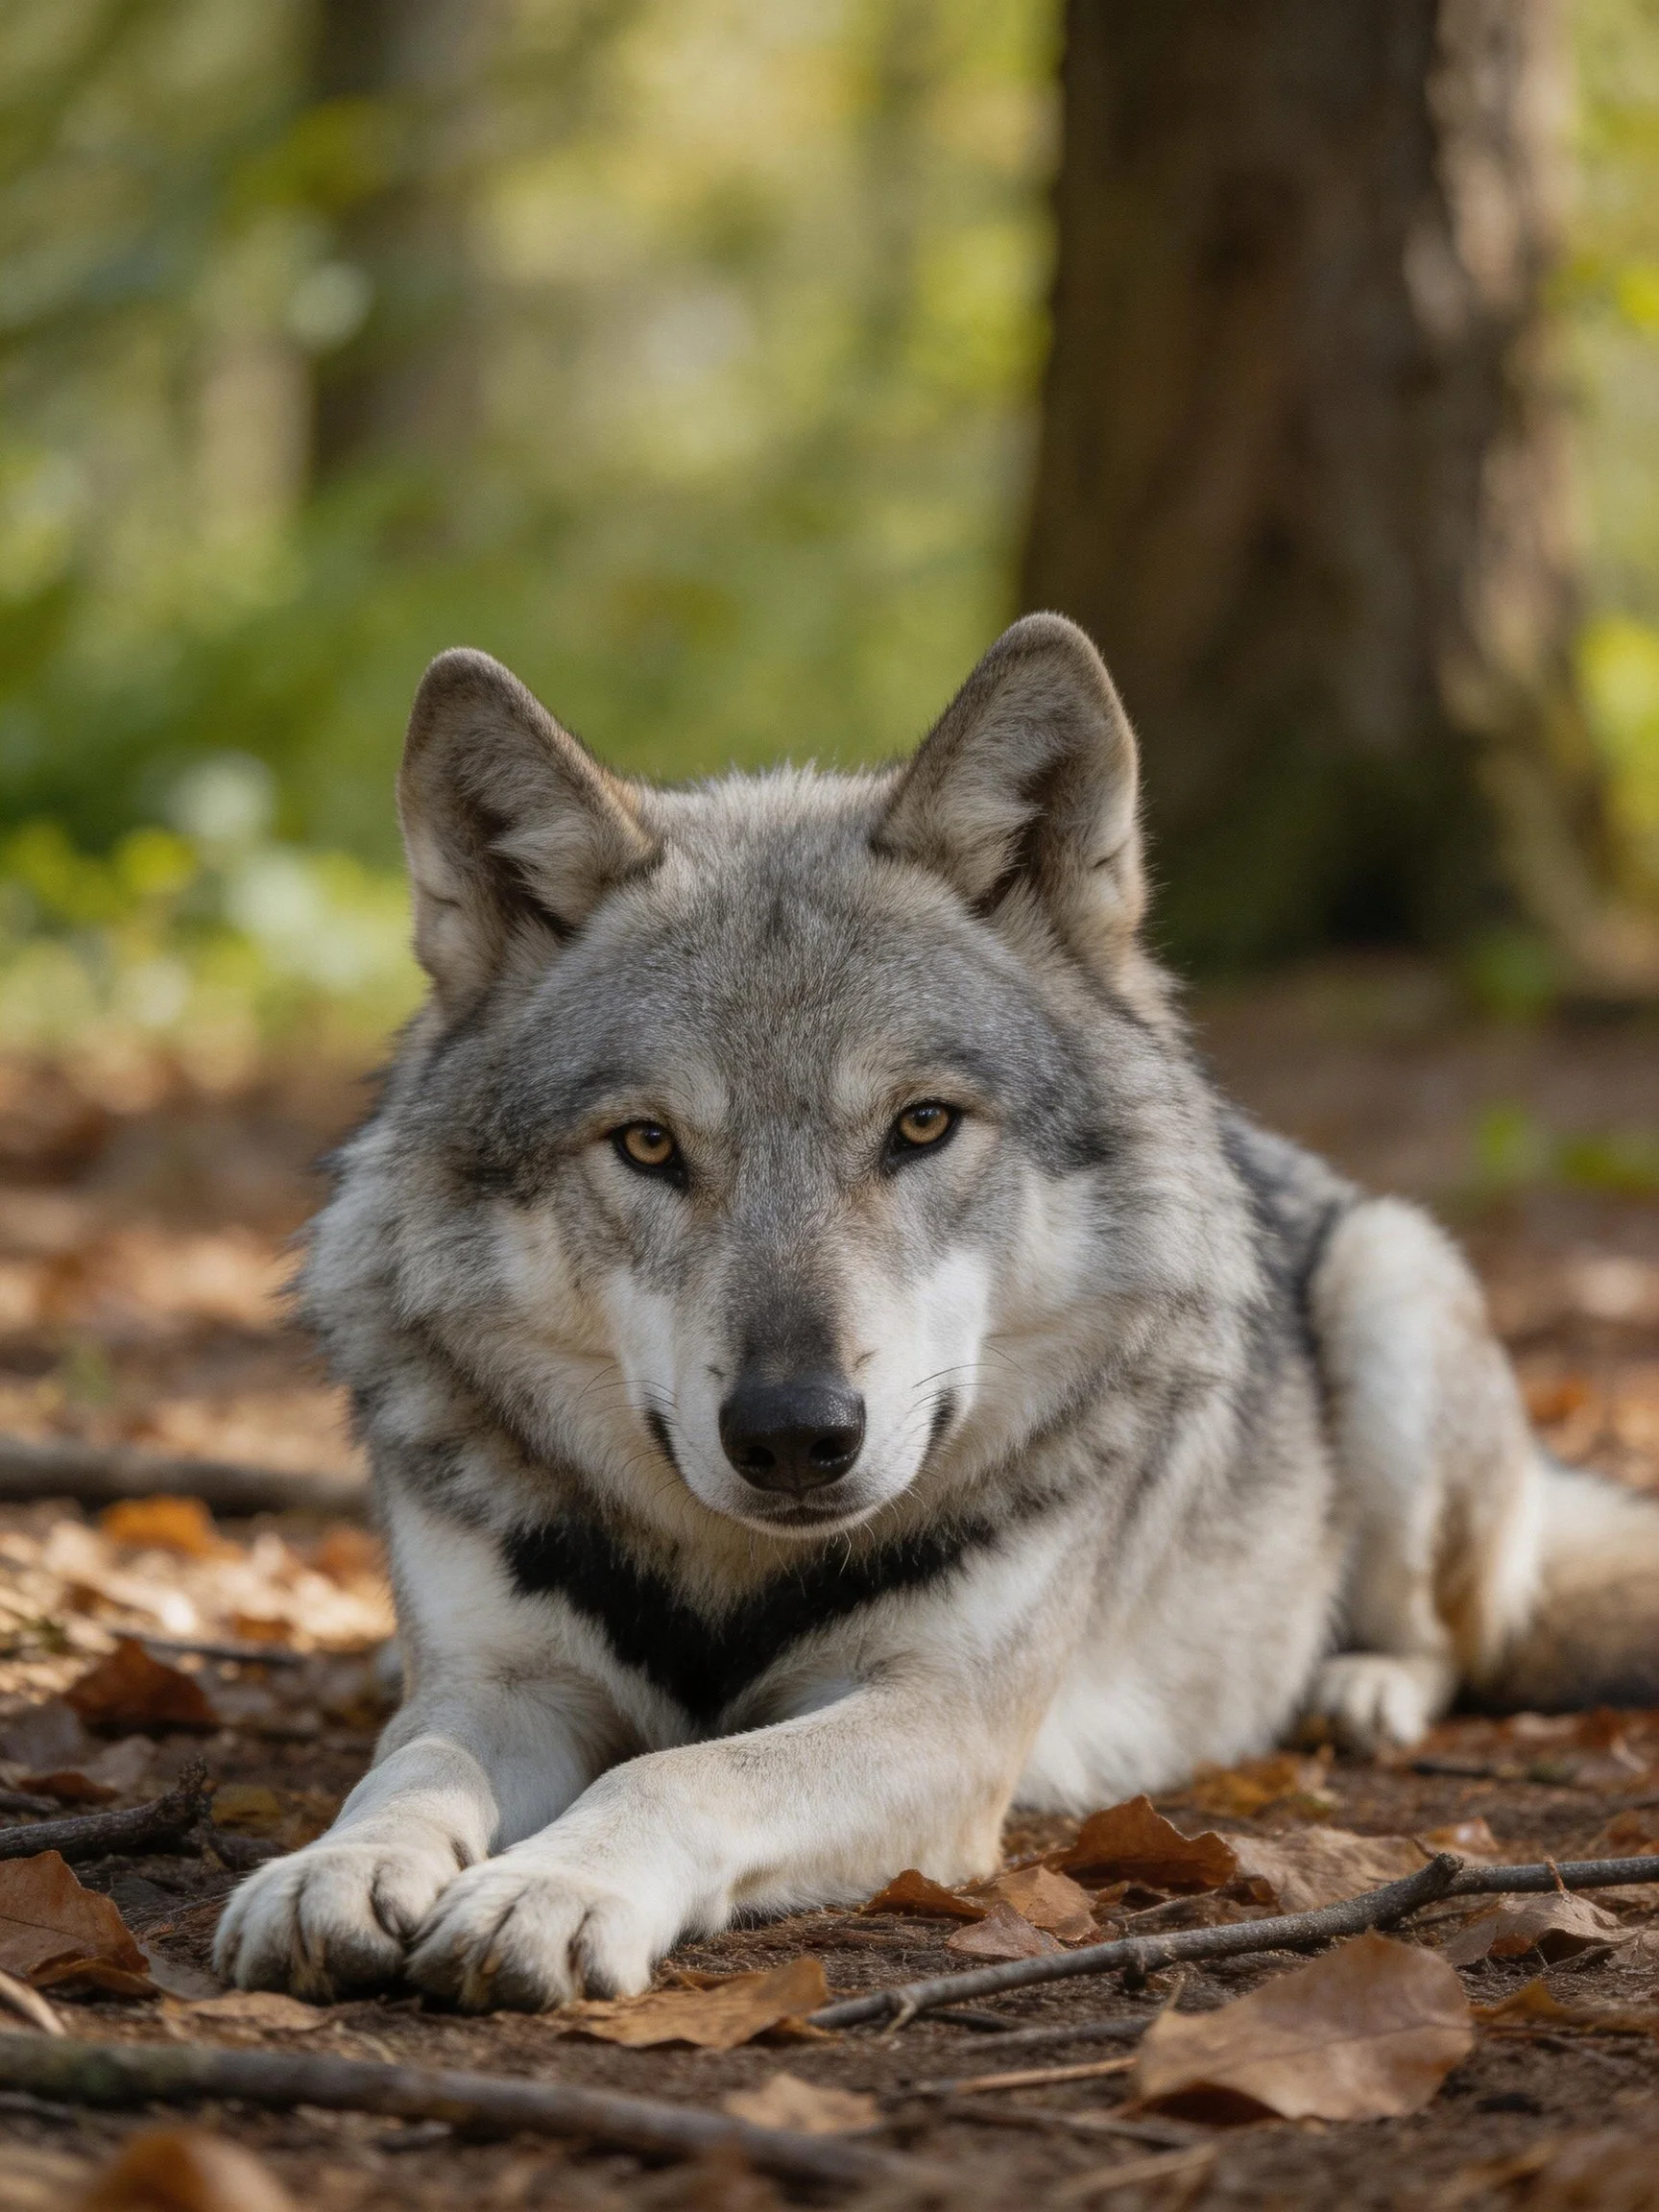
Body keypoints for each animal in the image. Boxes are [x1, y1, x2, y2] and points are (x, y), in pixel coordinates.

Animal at [215, 613, 1659, 2009]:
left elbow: (680, 1772)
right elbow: (412, 1768)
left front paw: (546, 1891)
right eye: (648, 1145)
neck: (731, 1588)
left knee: (1452, 1639)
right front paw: (334, 1868)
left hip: (1390, 1284)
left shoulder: (940, 1722)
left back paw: (1356, 1685)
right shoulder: (501, 1686)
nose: (795, 1433)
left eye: (920, 1126)